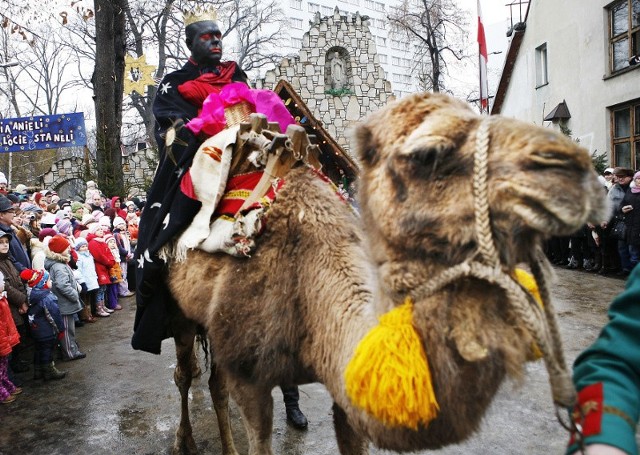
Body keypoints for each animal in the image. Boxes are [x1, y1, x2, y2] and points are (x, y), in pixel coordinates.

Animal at [162, 93, 608, 455]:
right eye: (429, 154)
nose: (572, 167)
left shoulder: (345, 384)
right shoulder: (249, 378)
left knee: (213, 382)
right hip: (179, 312)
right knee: (187, 374)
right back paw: (185, 442)